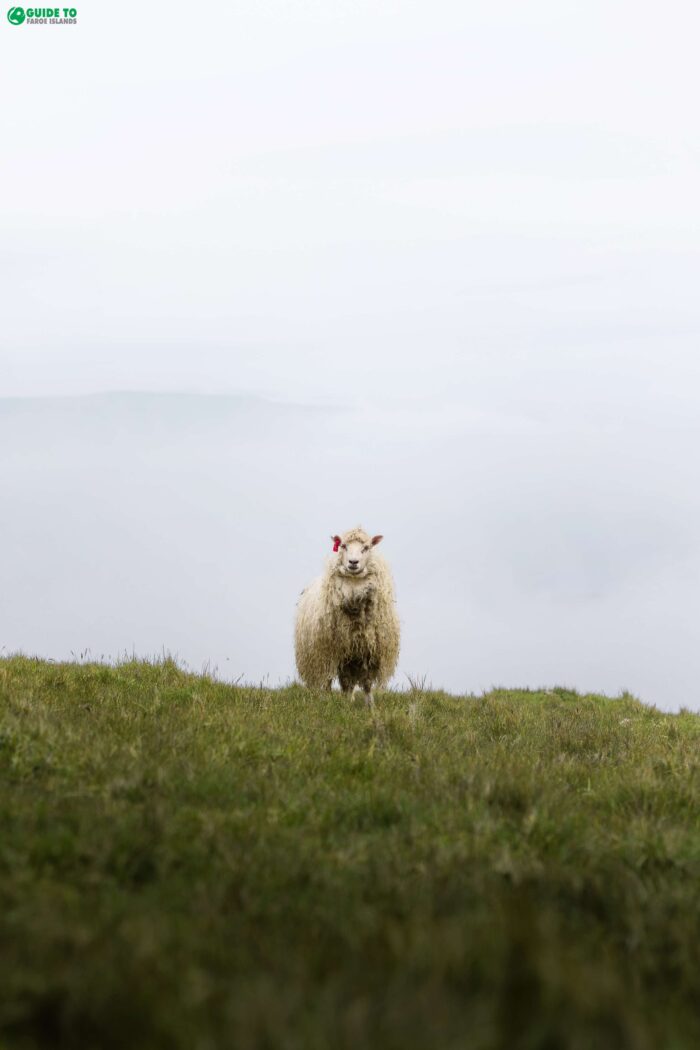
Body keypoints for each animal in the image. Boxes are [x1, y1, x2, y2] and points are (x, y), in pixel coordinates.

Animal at [294, 526, 400, 705]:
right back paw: (326, 698)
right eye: (343, 546)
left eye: (366, 547)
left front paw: (370, 706)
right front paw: (342, 704)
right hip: (322, 654)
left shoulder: (368, 651)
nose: (353, 562)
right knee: (328, 680)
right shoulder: (337, 651)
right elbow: (342, 681)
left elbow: (366, 684)